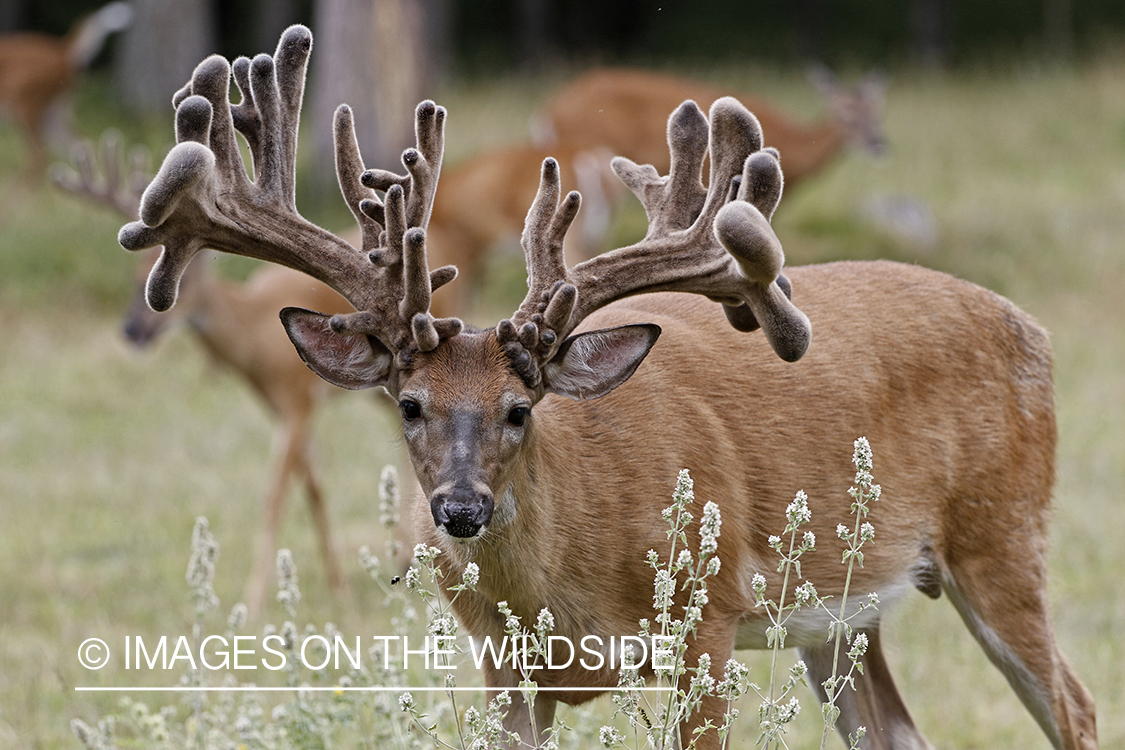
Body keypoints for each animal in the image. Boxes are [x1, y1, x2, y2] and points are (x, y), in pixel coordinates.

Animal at [51, 133, 351, 616]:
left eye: (183, 283)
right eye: (133, 275)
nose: (131, 330)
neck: (255, 328)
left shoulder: (300, 398)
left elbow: (275, 494)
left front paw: (254, 599)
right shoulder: (279, 404)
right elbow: (314, 486)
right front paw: (339, 587)